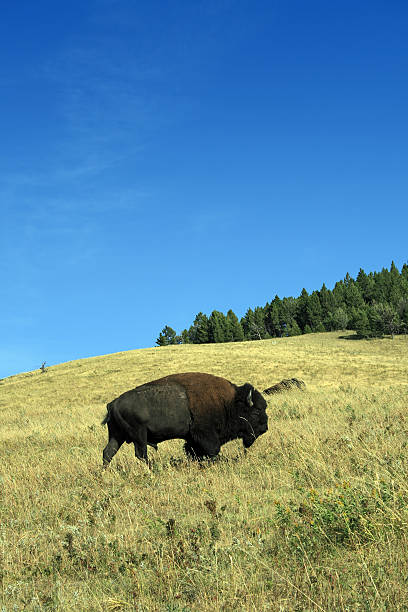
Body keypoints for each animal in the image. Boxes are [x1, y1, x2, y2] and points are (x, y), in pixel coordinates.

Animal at [101, 372, 268, 464]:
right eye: (255, 412)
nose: (265, 428)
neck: (229, 402)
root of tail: (113, 404)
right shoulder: (205, 435)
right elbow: (213, 450)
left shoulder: (192, 438)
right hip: (139, 436)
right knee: (141, 455)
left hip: (117, 435)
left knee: (108, 453)